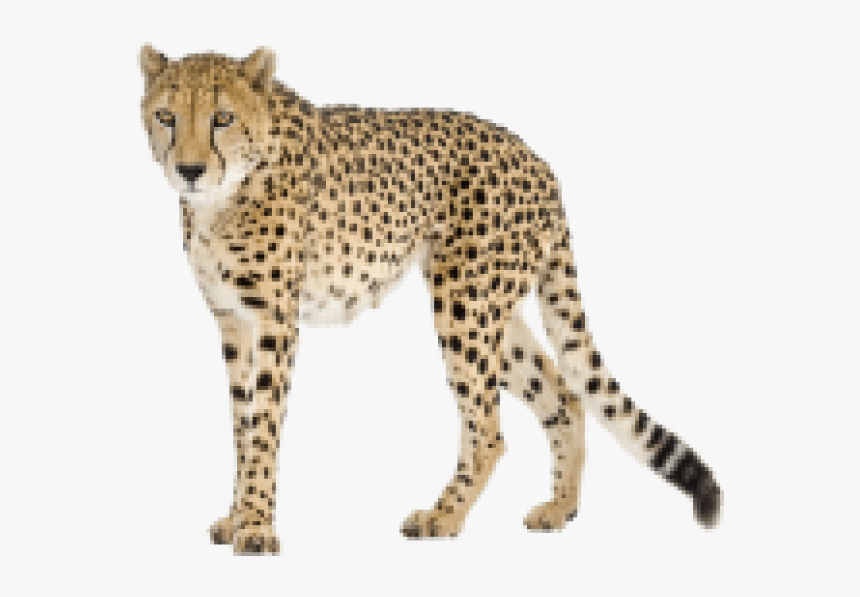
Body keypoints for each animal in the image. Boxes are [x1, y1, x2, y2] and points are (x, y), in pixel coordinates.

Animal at [139, 45, 722, 554]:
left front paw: (257, 527)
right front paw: (237, 516)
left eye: (222, 118)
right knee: (563, 396)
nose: (189, 170)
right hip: (491, 313)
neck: (221, 198)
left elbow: (263, 430)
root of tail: (537, 160)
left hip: (464, 306)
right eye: (166, 116)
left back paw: (443, 516)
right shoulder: (233, 321)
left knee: (489, 430)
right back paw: (559, 507)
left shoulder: (274, 321)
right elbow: (242, 425)